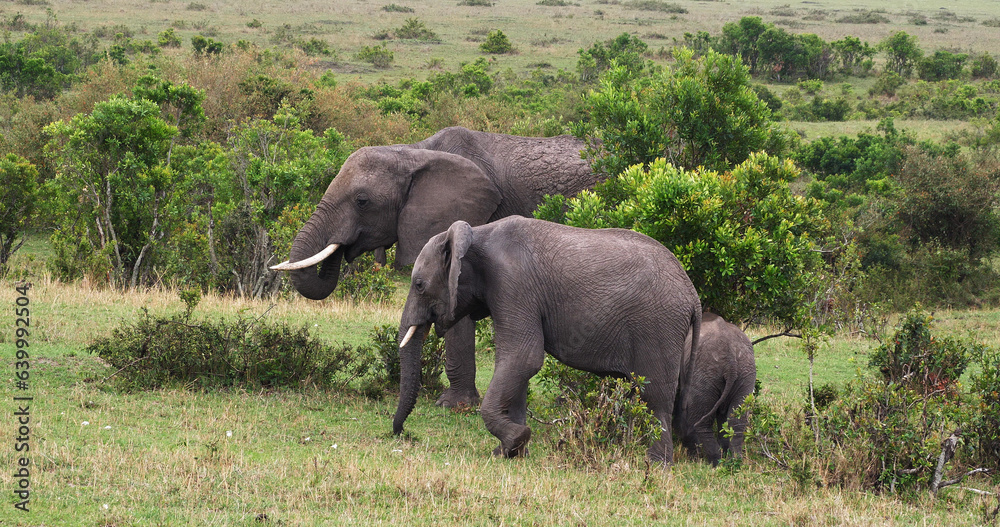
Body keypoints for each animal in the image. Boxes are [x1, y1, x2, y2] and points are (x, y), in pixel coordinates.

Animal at [392, 217, 702, 463]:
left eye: (419, 285)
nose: (401, 434)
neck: (476, 235)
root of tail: (693, 295)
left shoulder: (512, 284)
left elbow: (523, 357)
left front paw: (517, 440)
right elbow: (518, 364)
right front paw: (512, 452)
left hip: (659, 326)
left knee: (654, 396)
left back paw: (655, 466)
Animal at [675, 312, 756, 465]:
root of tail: (731, 363)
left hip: (705, 373)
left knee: (700, 420)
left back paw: (715, 462)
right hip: (746, 372)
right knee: (737, 419)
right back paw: (733, 461)